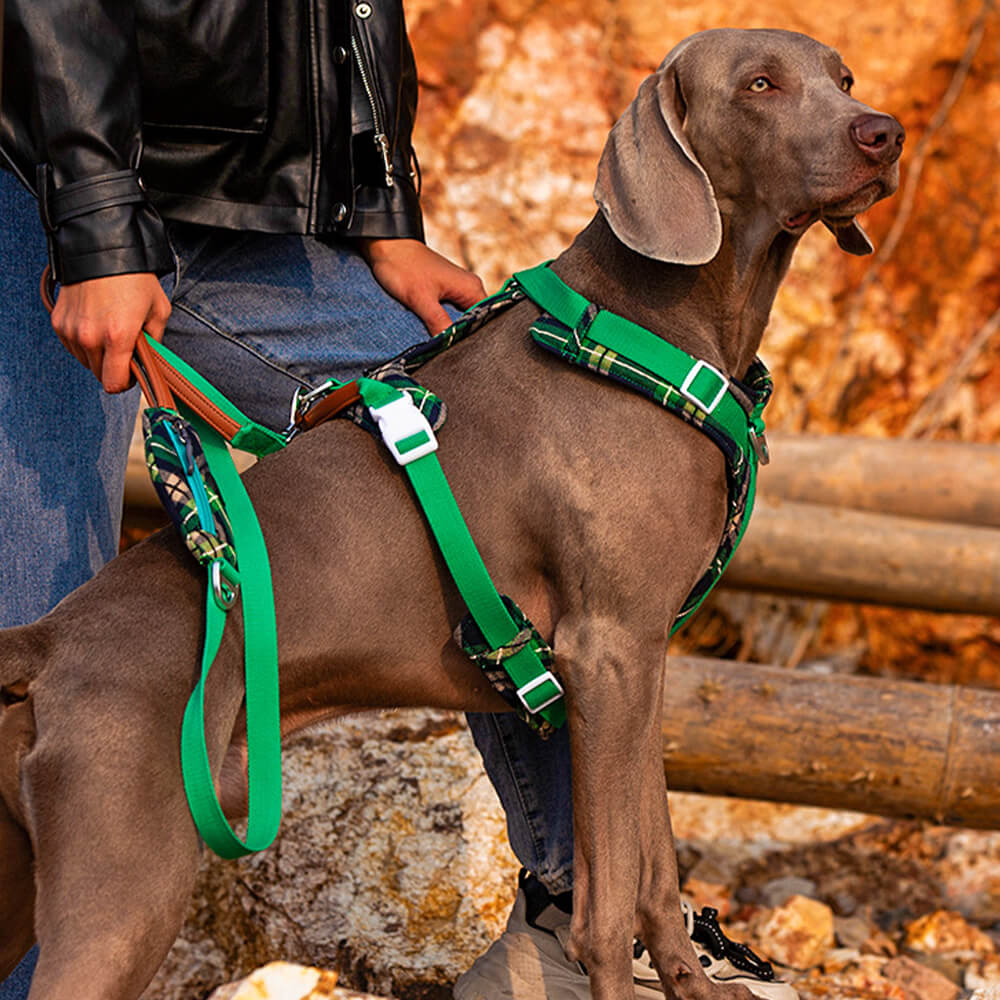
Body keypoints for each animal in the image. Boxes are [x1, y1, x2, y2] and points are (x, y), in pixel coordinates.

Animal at [0, 29, 904, 1000]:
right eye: (760, 85)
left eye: (843, 78)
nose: (883, 133)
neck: (651, 324)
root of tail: (50, 640)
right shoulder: (607, 650)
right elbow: (607, 907)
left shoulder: (642, 658)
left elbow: (658, 873)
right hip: (127, 873)